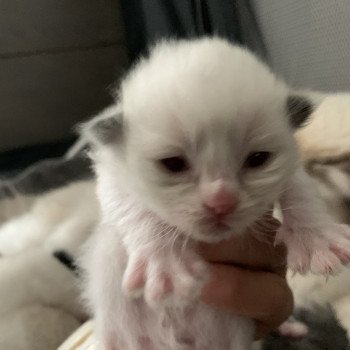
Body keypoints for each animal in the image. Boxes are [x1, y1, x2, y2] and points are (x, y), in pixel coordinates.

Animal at [80, 38, 350, 350]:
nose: (221, 203)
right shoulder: (112, 174)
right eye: (173, 164)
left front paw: (316, 238)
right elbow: (134, 207)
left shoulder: (291, 167)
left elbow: (301, 191)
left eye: (258, 159)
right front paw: (165, 262)